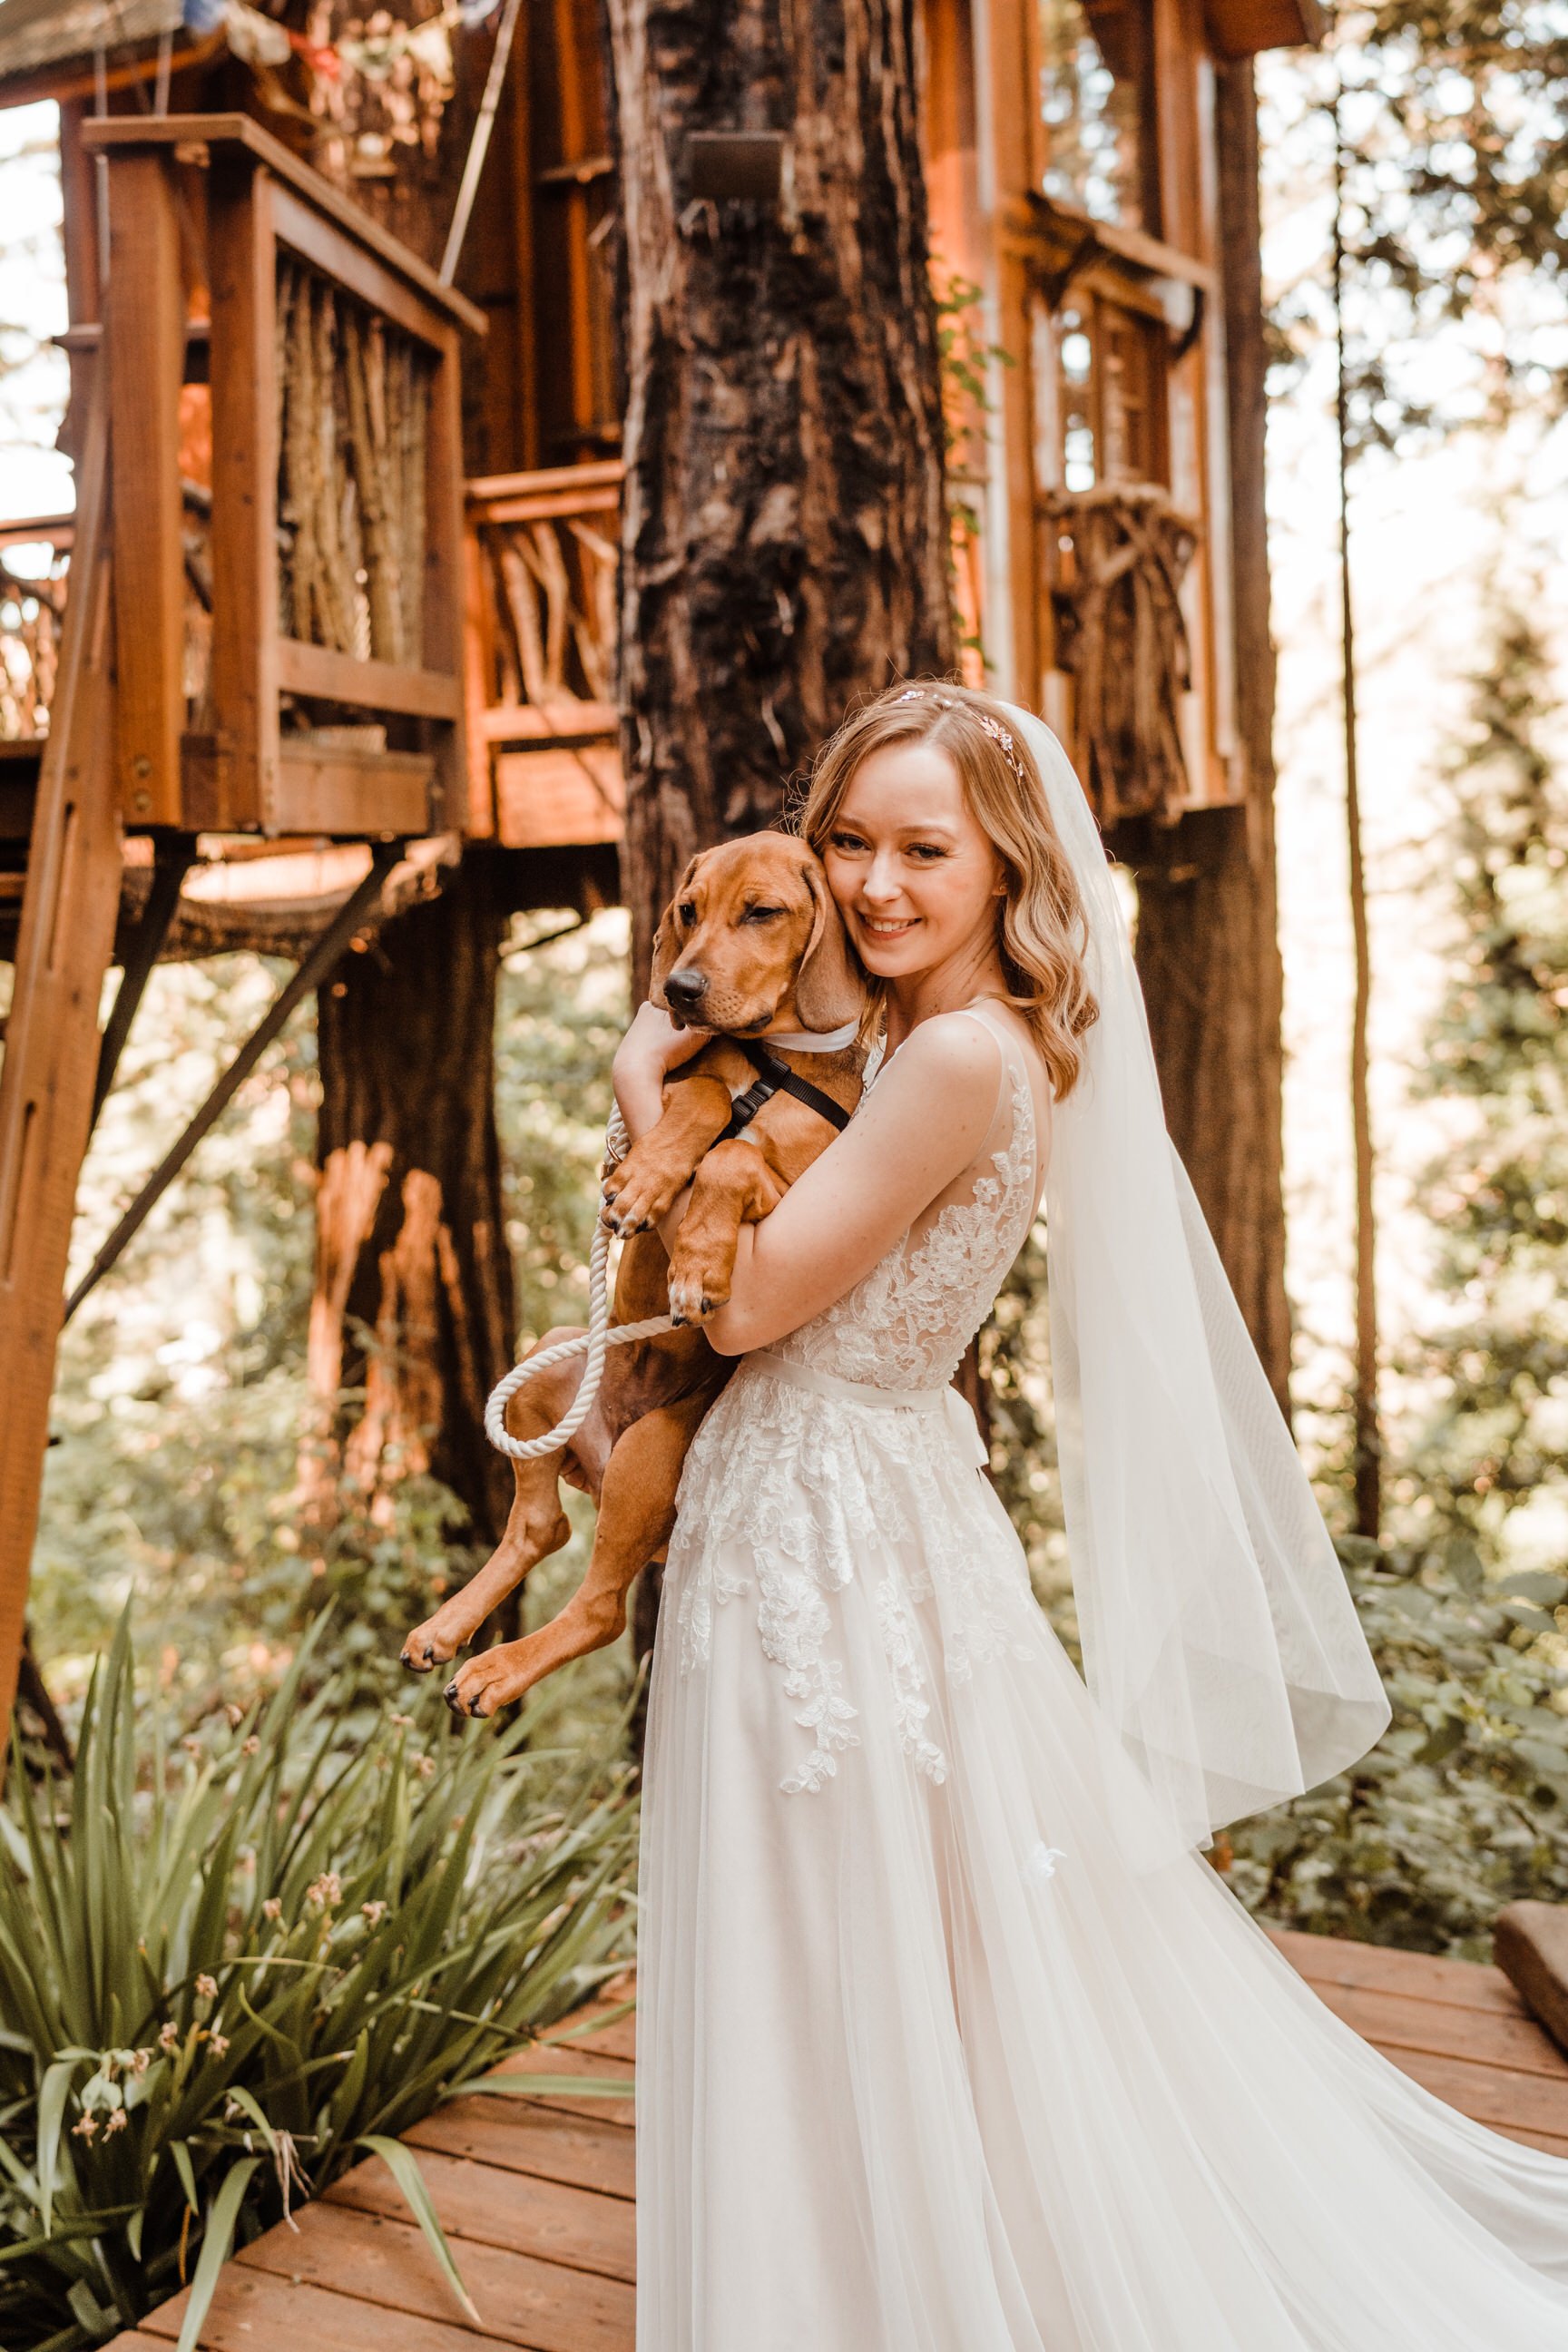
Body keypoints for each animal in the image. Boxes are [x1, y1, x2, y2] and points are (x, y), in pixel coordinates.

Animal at [404, 837, 865, 1721]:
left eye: (762, 912)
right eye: (687, 910)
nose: (678, 989)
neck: (776, 1053)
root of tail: (601, 1442)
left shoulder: (802, 1199)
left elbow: (732, 1157)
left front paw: (696, 1261)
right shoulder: (688, 1084)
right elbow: (706, 1092)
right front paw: (649, 1178)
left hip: (655, 1449)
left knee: (601, 1609)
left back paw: (495, 1670)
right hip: (552, 1356)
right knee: (540, 1527)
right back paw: (450, 1630)